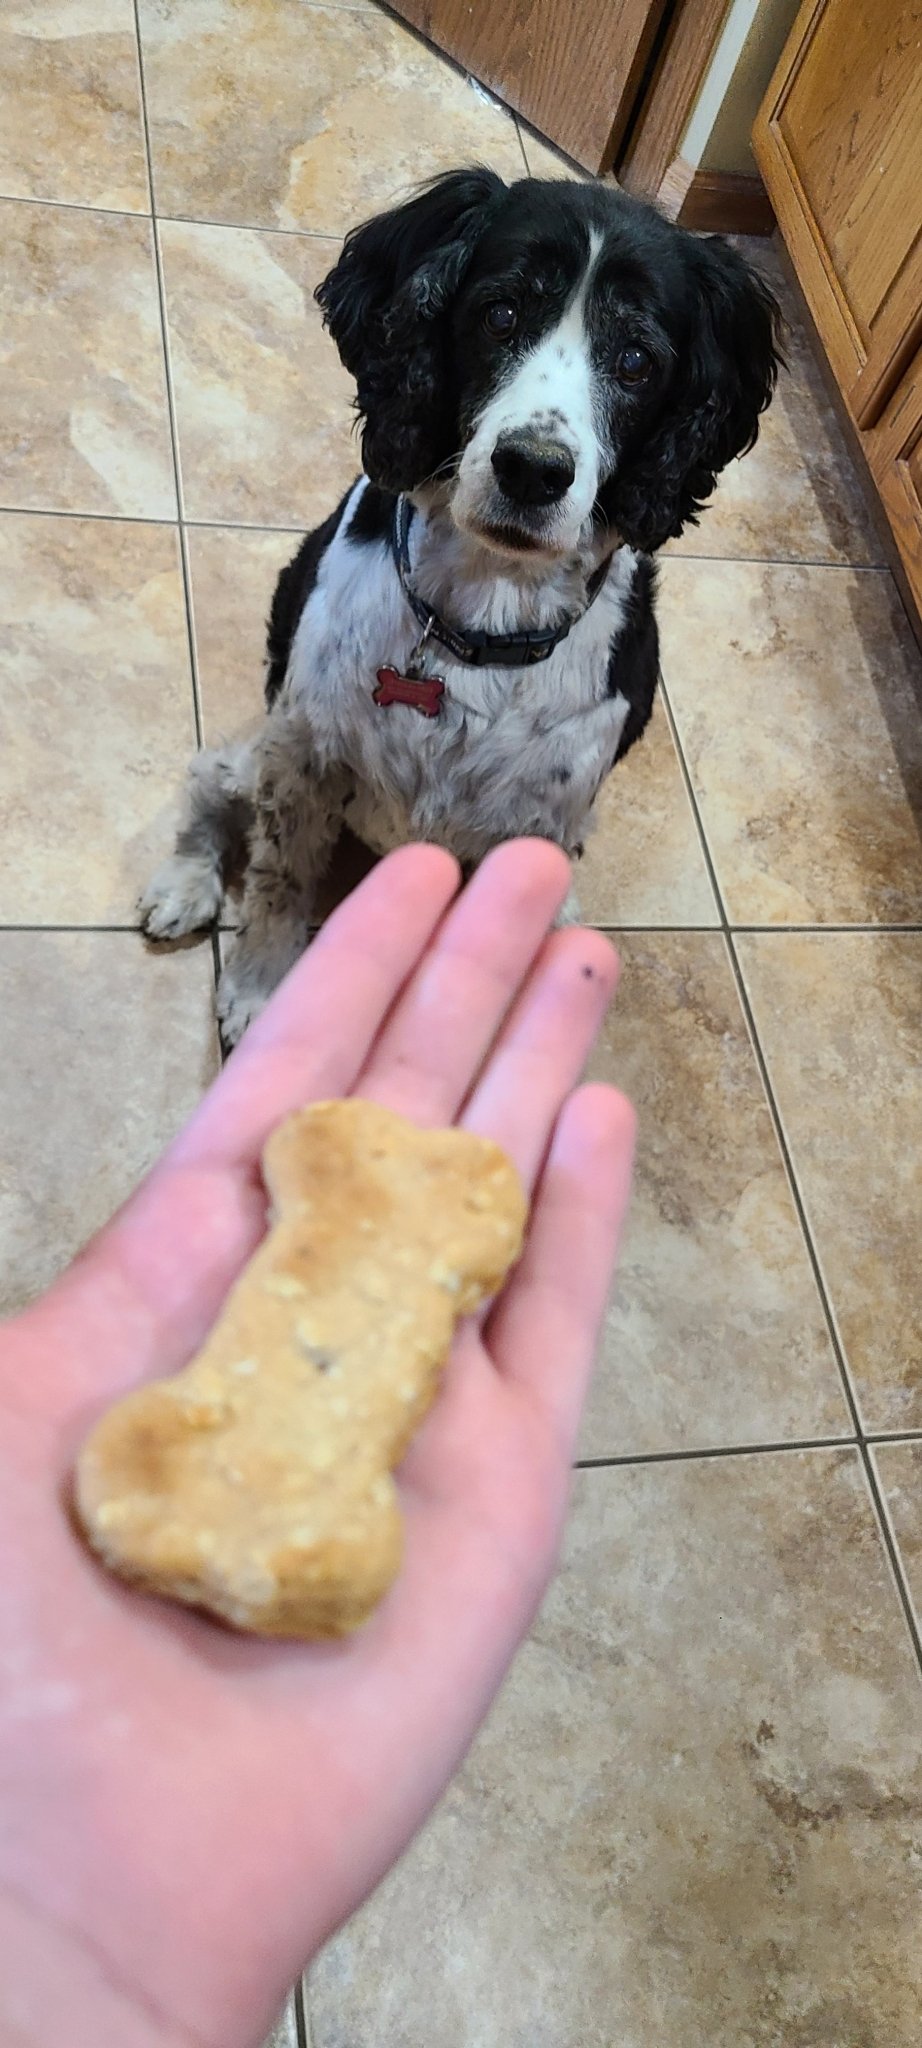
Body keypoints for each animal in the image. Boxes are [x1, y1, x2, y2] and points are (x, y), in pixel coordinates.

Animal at [140, 167, 782, 1048]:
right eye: (499, 313)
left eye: (637, 361)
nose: (533, 469)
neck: (483, 619)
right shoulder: (305, 756)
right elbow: (279, 878)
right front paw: (262, 991)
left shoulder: (538, 826)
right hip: (264, 742)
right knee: (211, 777)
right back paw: (185, 881)